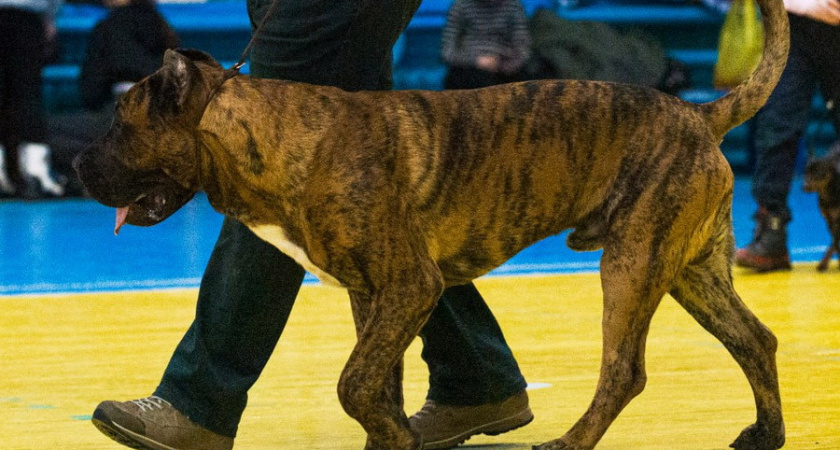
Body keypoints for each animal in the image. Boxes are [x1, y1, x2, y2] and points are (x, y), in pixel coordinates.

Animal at [75, 0, 792, 446]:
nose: (78, 163)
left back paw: (569, 442)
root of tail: (698, 113)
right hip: (692, 270)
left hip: (633, 264)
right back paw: (767, 434)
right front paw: (393, 437)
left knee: (624, 372)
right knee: (755, 340)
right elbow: (376, 387)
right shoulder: (374, 300)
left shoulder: (408, 287)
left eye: (120, 126)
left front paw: (400, 437)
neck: (280, 140)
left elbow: (353, 385)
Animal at [800, 142, 840, 270]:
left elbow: (836, 240)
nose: (804, 186)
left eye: (818, 173)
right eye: (805, 172)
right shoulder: (829, 220)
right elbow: (835, 241)